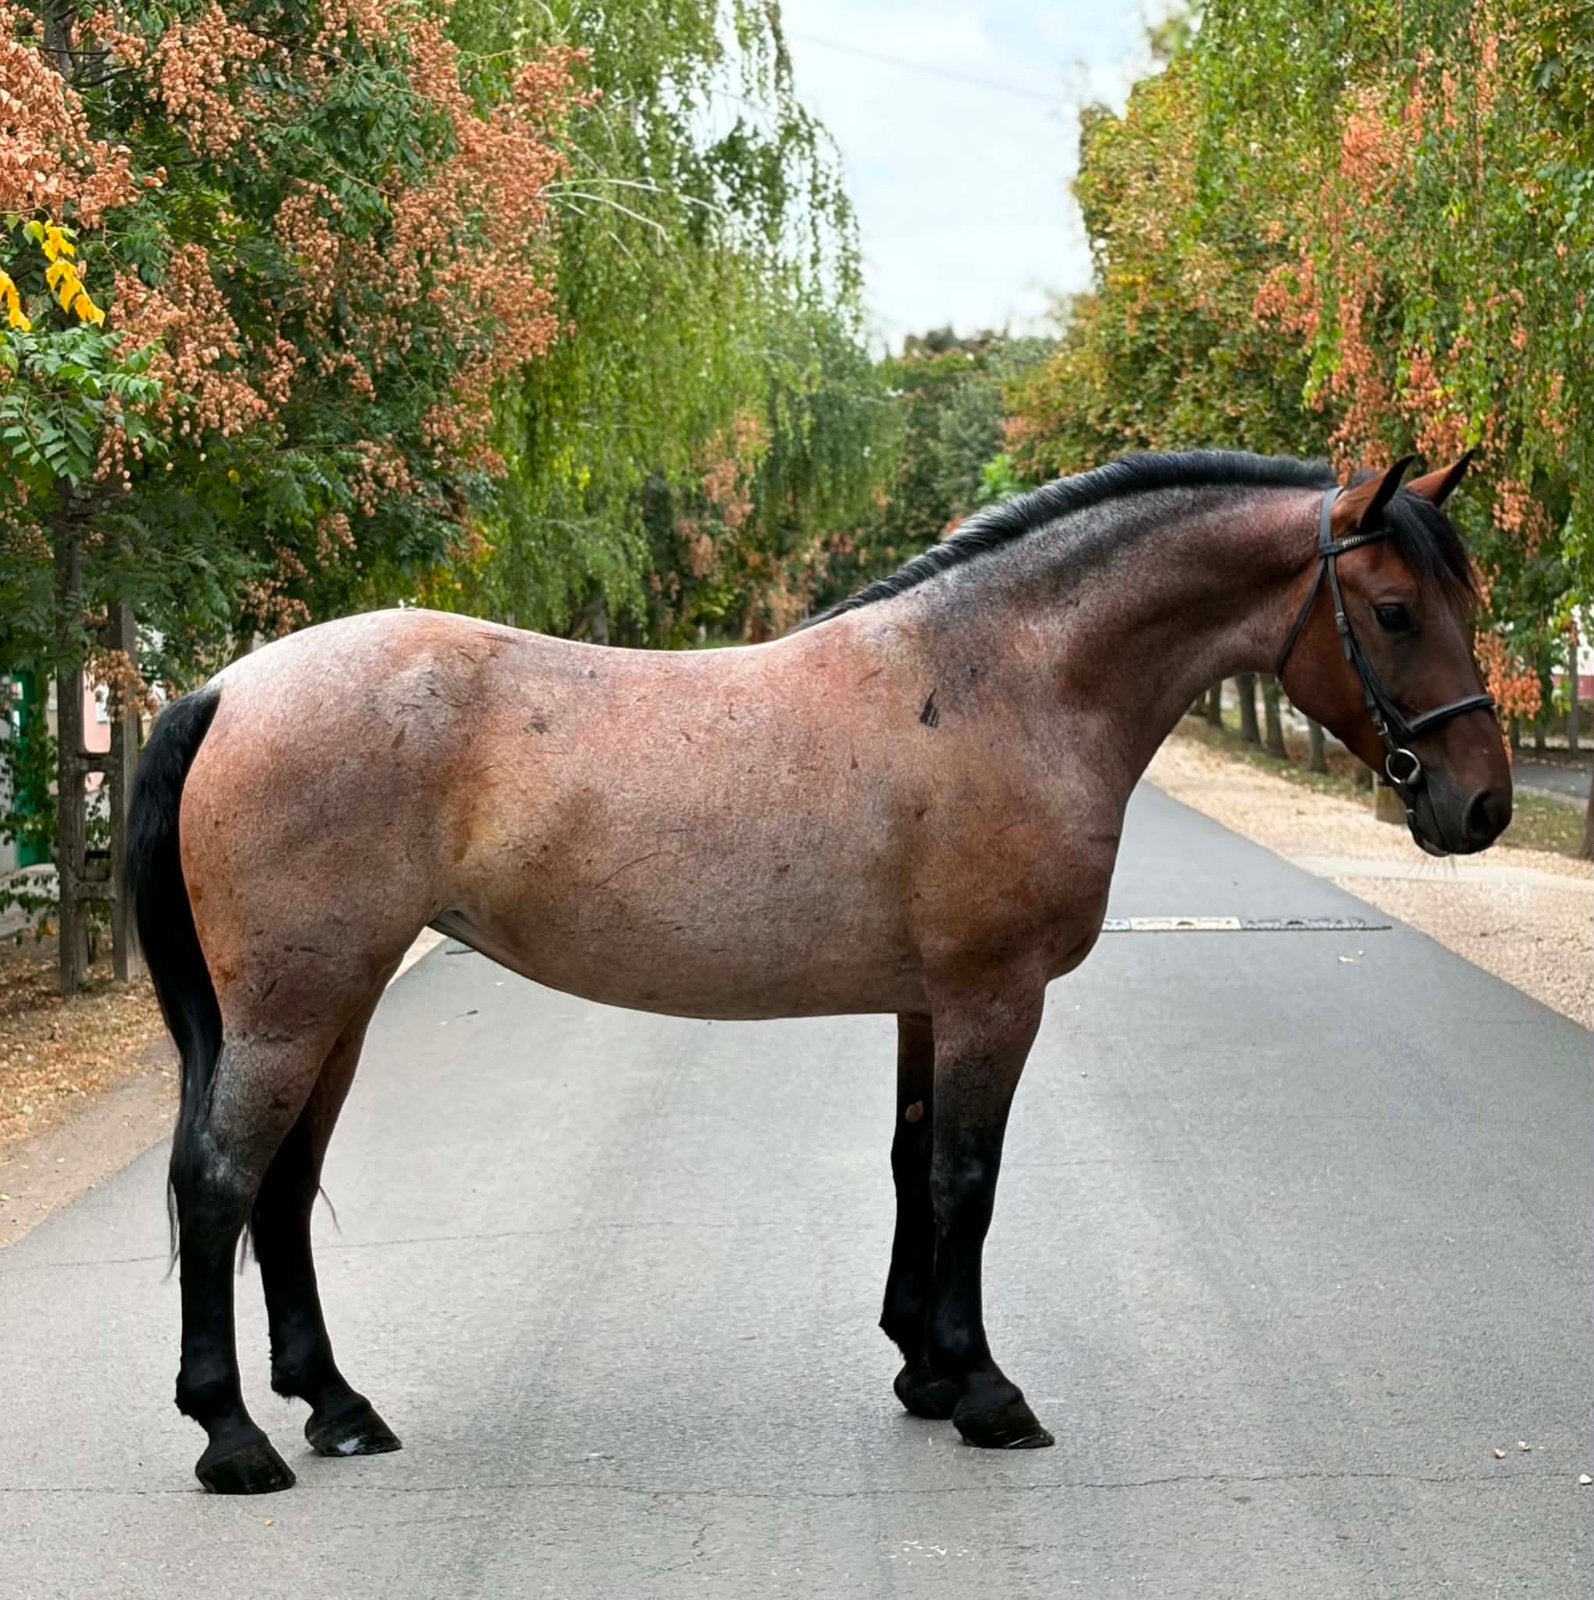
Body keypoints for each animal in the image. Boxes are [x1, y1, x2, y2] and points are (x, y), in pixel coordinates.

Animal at [126, 449, 1510, 1494]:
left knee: (280, 1190)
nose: (1482, 806)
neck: (1001, 682)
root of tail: (228, 685)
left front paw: (923, 1371)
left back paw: (336, 1407)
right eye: (1394, 611)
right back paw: (233, 1437)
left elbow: (911, 1164)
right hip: (292, 1007)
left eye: (1469, 600)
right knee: (219, 1183)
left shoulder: (926, 1002)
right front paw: (987, 1391)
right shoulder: (993, 996)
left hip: (337, 1004)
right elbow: (964, 1180)